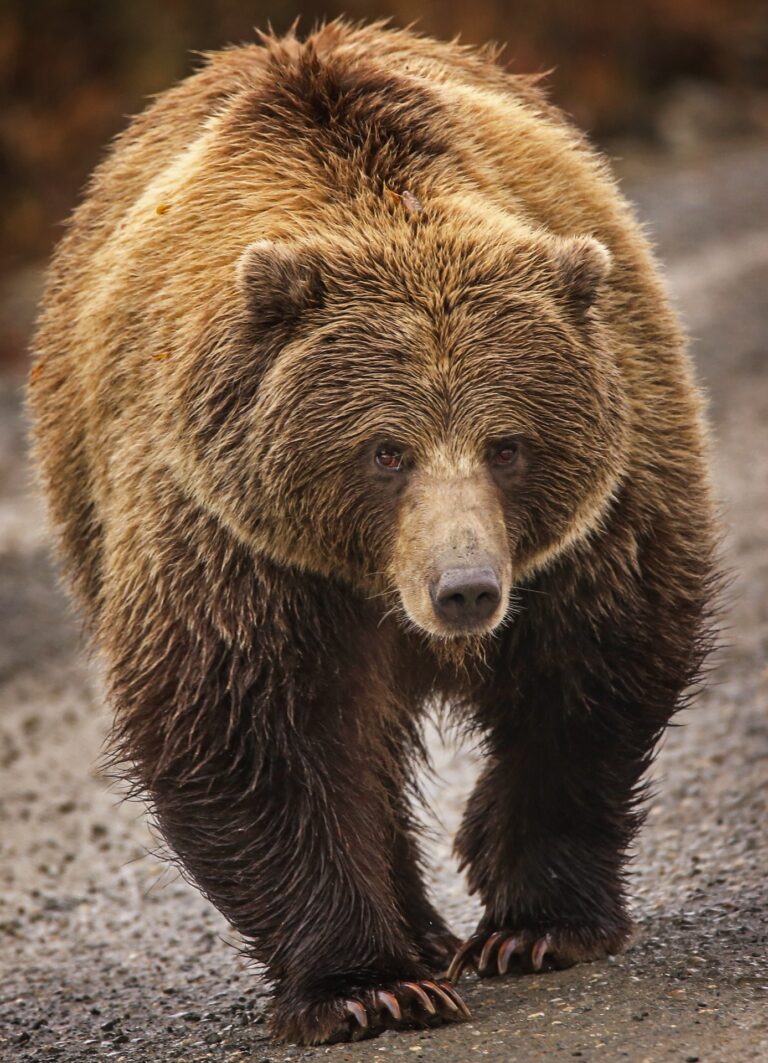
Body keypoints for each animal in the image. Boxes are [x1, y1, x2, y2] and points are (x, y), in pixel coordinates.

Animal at [25, 16, 719, 1045]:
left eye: (507, 443)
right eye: (386, 450)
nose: (465, 588)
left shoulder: (604, 504)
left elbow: (593, 669)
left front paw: (535, 922)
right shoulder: (229, 534)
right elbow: (247, 727)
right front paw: (369, 984)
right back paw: (418, 934)